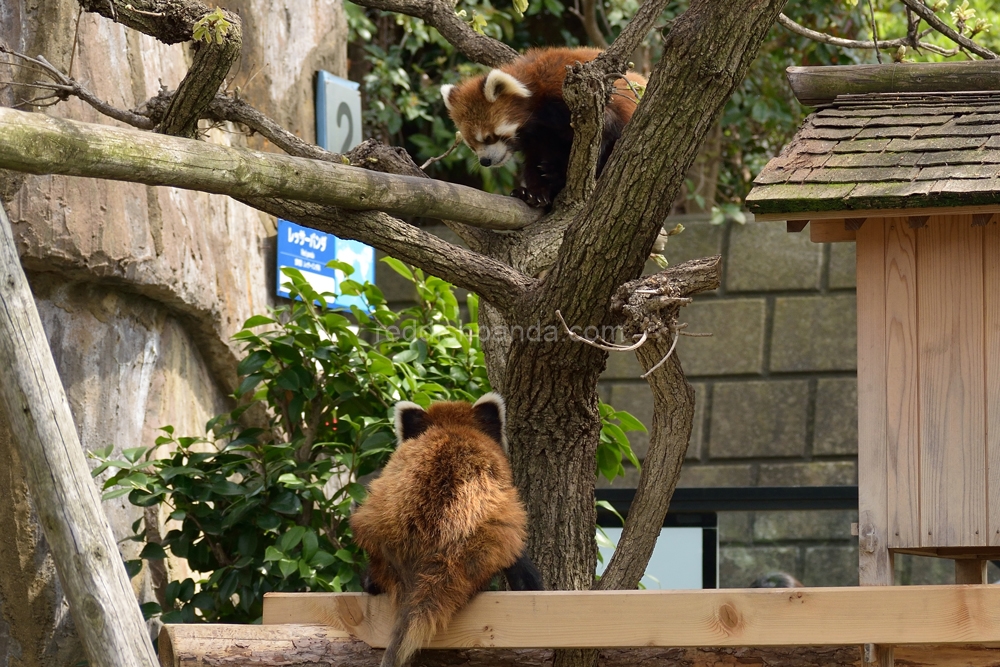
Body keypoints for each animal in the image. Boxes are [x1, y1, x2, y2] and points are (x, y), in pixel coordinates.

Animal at [440, 46, 644, 207]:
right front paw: (535, 192)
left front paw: (556, 172)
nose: (485, 161)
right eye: (472, 145)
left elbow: (606, 132)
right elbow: (534, 158)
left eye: (489, 137)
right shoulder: (539, 138)